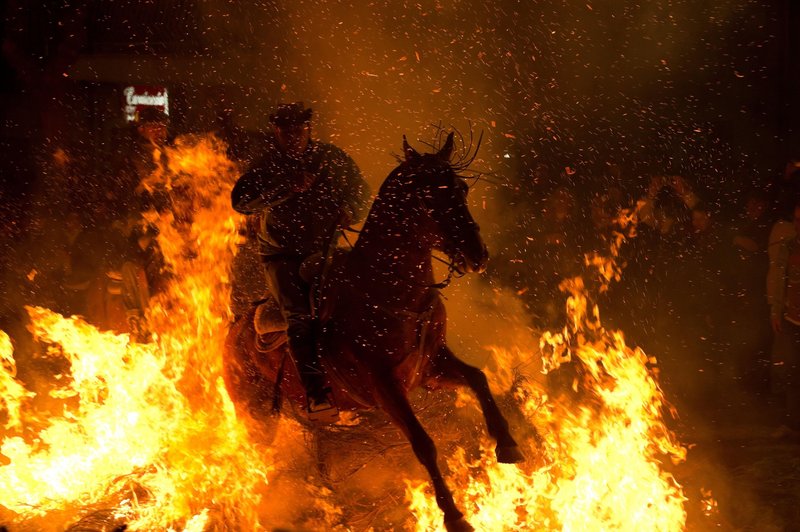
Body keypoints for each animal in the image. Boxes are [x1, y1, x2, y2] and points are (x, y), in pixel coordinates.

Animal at [223, 133, 524, 532]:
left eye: (461, 188)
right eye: (429, 196)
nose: (477, 254)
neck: (386, 287)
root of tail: (234, 332)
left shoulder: (431, 366)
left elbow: (478, 378)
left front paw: (507, 443)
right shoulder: (384, 386)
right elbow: (423, 443)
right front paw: (455, 516)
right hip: (255, 414)